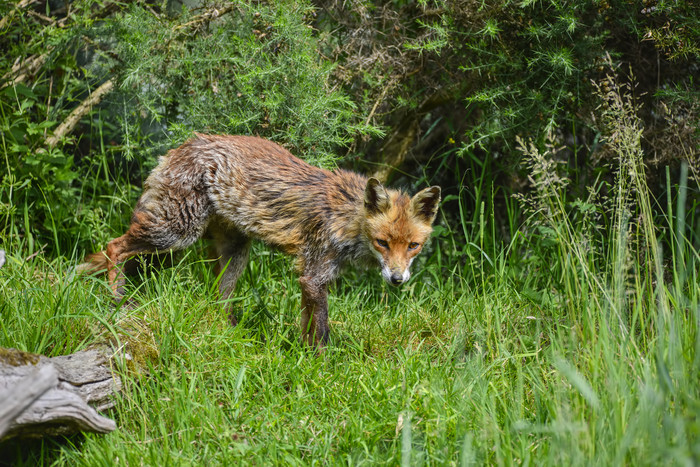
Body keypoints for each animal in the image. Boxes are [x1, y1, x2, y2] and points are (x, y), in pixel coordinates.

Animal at [79, 134, 440, 348]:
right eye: (382, 242)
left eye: (412, 246)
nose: (397, 279)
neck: (347, 219)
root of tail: (180, 147)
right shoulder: (314, 274)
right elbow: (322, 330)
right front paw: (323, 366)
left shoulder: (310, 277)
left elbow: (307, 324)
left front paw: (302, 357)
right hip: (175, 232)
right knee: (113, 247)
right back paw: (117, 300)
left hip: (234, 253)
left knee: (217, 299)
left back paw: (228, 334)